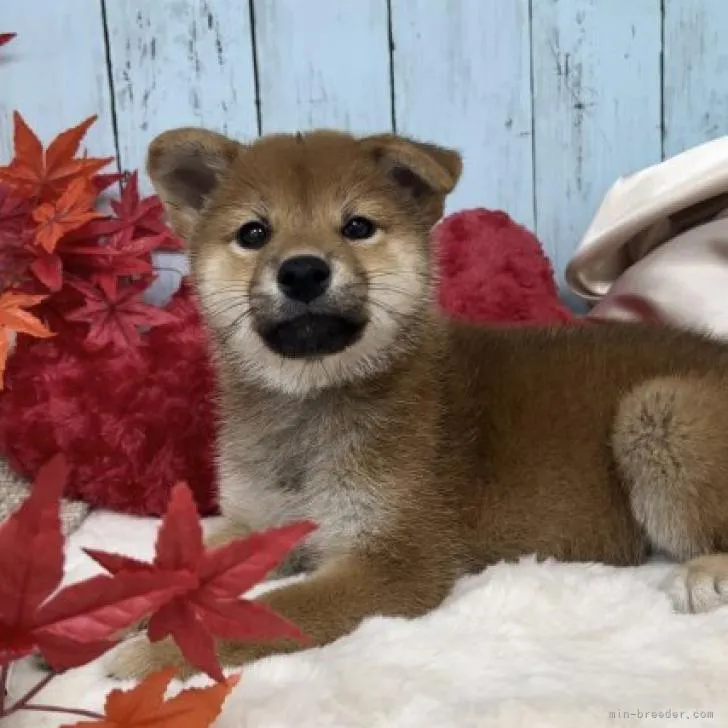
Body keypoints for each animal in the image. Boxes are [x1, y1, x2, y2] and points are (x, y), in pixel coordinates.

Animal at [108, 128, 728, 680]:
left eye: (358, 227)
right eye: (254, 233)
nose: (303, 270)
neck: (311, 404)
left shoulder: (393, 561)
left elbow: (271, 612)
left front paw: (156, 653)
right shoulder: (256, 523)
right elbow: (176, 569)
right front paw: (113, 607)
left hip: (659, 409)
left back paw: (703, 576)